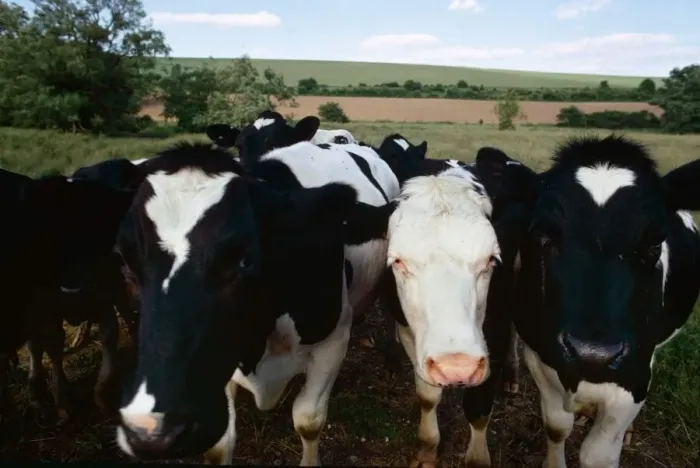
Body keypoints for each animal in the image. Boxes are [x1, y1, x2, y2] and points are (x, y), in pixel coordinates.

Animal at [114, 134, 400, 465]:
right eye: (125, 258)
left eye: (244, 259)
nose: (151, 433)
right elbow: (220, 444)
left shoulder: (333, 341)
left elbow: (309, 420)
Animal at [463, 134, 700, 467]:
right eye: (543, 234)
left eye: (655, 242)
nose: (594, 353)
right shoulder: (543, 358)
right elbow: (557, 426)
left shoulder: (635, 372)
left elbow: (597, 454)